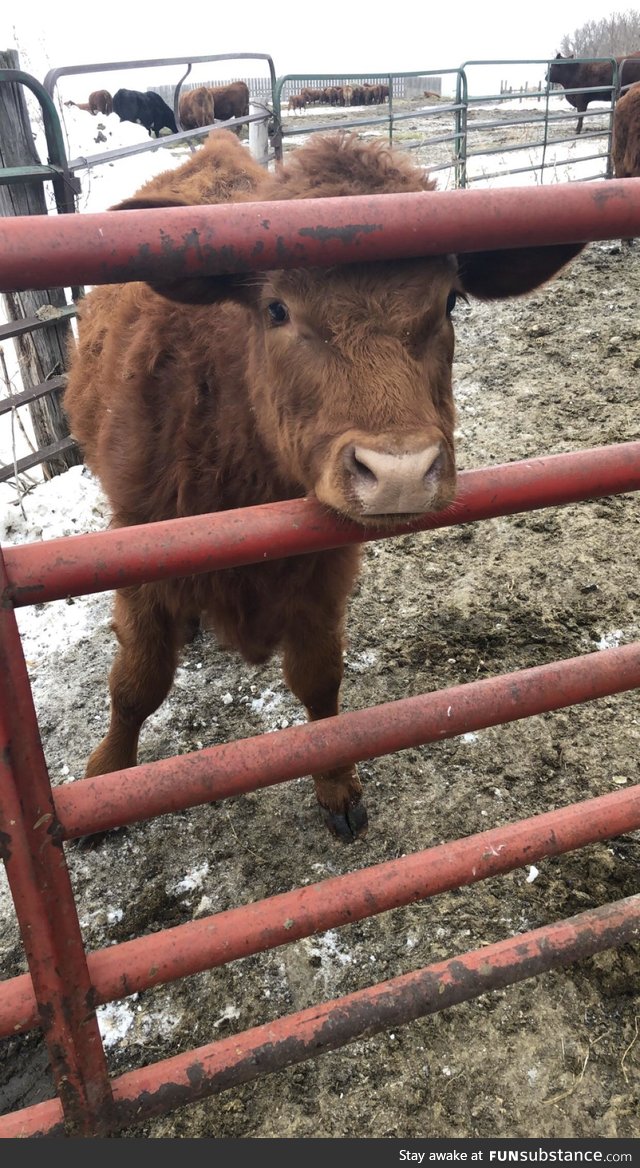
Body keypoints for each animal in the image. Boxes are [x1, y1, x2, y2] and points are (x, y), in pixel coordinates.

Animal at [65, 125, 583, 840]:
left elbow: (319, 678)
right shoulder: (137, 541)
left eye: (450, 300)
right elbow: (136, 682)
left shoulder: (322, 563)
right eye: (277, 308)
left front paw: (336, 783)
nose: (400, 473)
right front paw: (108, 778)